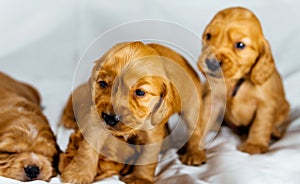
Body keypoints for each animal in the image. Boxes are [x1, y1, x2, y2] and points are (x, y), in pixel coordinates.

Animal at [60, 41, 207, 184]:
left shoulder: (152, 133)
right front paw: (78, 174)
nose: (109, 118)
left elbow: (146, 157)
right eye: (102, 84)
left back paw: (194, 154)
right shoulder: (95, 121)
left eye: (140, 92)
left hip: (192, 107)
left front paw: (139, 178)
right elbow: (87, 149)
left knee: (196, 130)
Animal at [198, 6, 290, 154]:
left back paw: (275, 132)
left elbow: (260, 124)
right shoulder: (214, 99)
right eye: (208, 36)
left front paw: (254, 145)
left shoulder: (266, 104)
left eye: (240, 45)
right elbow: (205, 118)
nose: (211, 63)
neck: (237, 80)